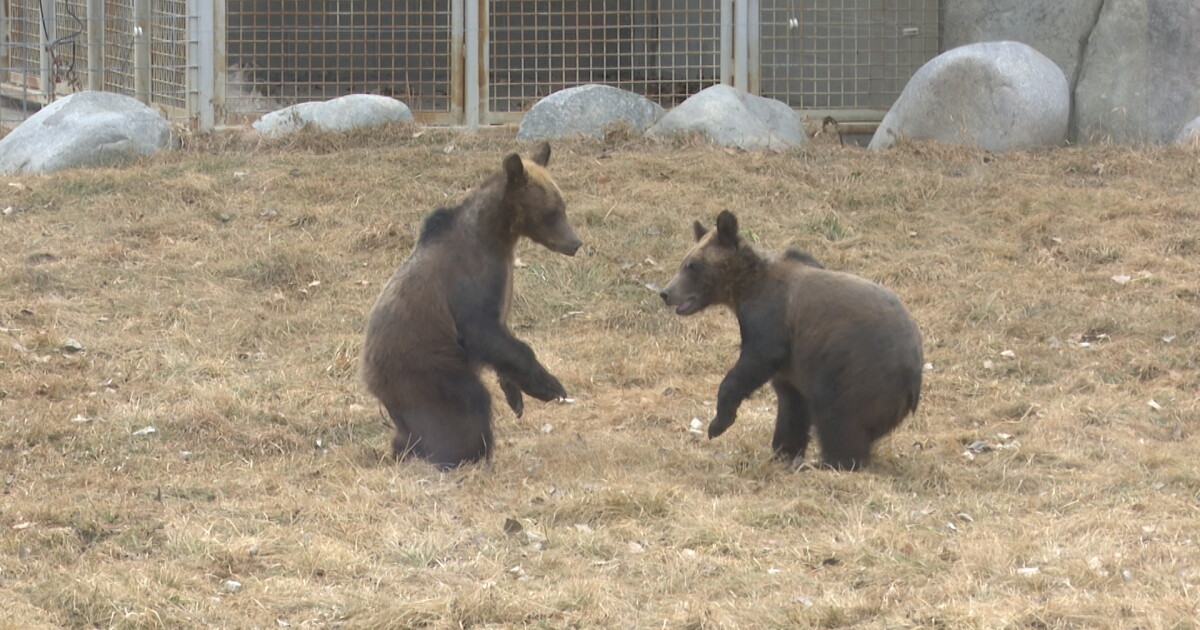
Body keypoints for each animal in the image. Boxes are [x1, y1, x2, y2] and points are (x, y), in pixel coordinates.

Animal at [360, 142, 581, 468]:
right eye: (553, 211)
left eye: (563, 206)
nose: (575, 243)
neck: (499, 236)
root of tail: (368, 376)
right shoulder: (469, 282)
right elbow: (483, 329)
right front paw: (550, 386)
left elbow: (502, 341)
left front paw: (515, 395)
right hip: (428, 366)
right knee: (464, 407)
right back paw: (463, 455)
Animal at [659, 210, 923, 470]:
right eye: (684, 263)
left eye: (692, 266)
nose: (665, 292)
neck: (746, 288)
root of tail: (913, 378)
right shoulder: (794, 365)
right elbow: (791, 405)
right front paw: (783, 452)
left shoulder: (771, 322)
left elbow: (754, 362)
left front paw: (718, 424)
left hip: (856, 371)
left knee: (838, 417)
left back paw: (830, 463)